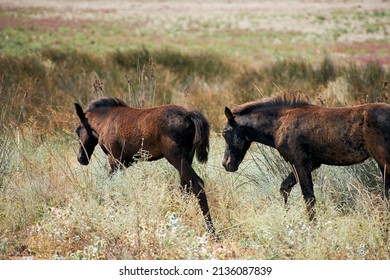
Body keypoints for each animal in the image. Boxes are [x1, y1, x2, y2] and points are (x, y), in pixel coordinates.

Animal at [74, 97, 218, 238]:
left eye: (77, 129)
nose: (81, 158)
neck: (105, 120)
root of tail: (189, 116)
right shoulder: (125, 163)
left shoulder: (115, 159)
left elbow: (112, 185)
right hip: (186, 158)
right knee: (186, 186)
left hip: (175, 156)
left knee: (197, 183)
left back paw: (212, 233)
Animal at [222, 96, 390, 221]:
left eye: (225, 133)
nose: (226, 164)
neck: (281, 123)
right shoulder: (310, 165)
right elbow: (285, 188)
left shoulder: (300, 164)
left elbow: (308, 198)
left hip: (384, 162)